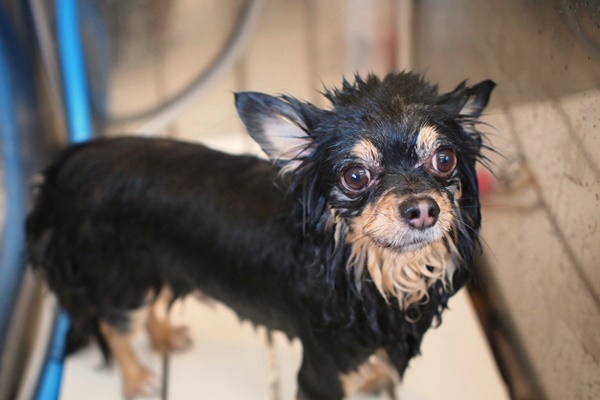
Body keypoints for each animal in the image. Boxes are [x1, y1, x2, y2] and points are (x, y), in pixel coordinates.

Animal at [26, 71, 495, 399]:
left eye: (445, 159)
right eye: (355, 176)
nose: (422, 208)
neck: (377, 274)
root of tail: (68, 166)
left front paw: (375, 377)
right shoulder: (323, 371)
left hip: (156, 264)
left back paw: (163, 336)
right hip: (122, 279)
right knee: (112, 323)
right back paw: (139, 377)